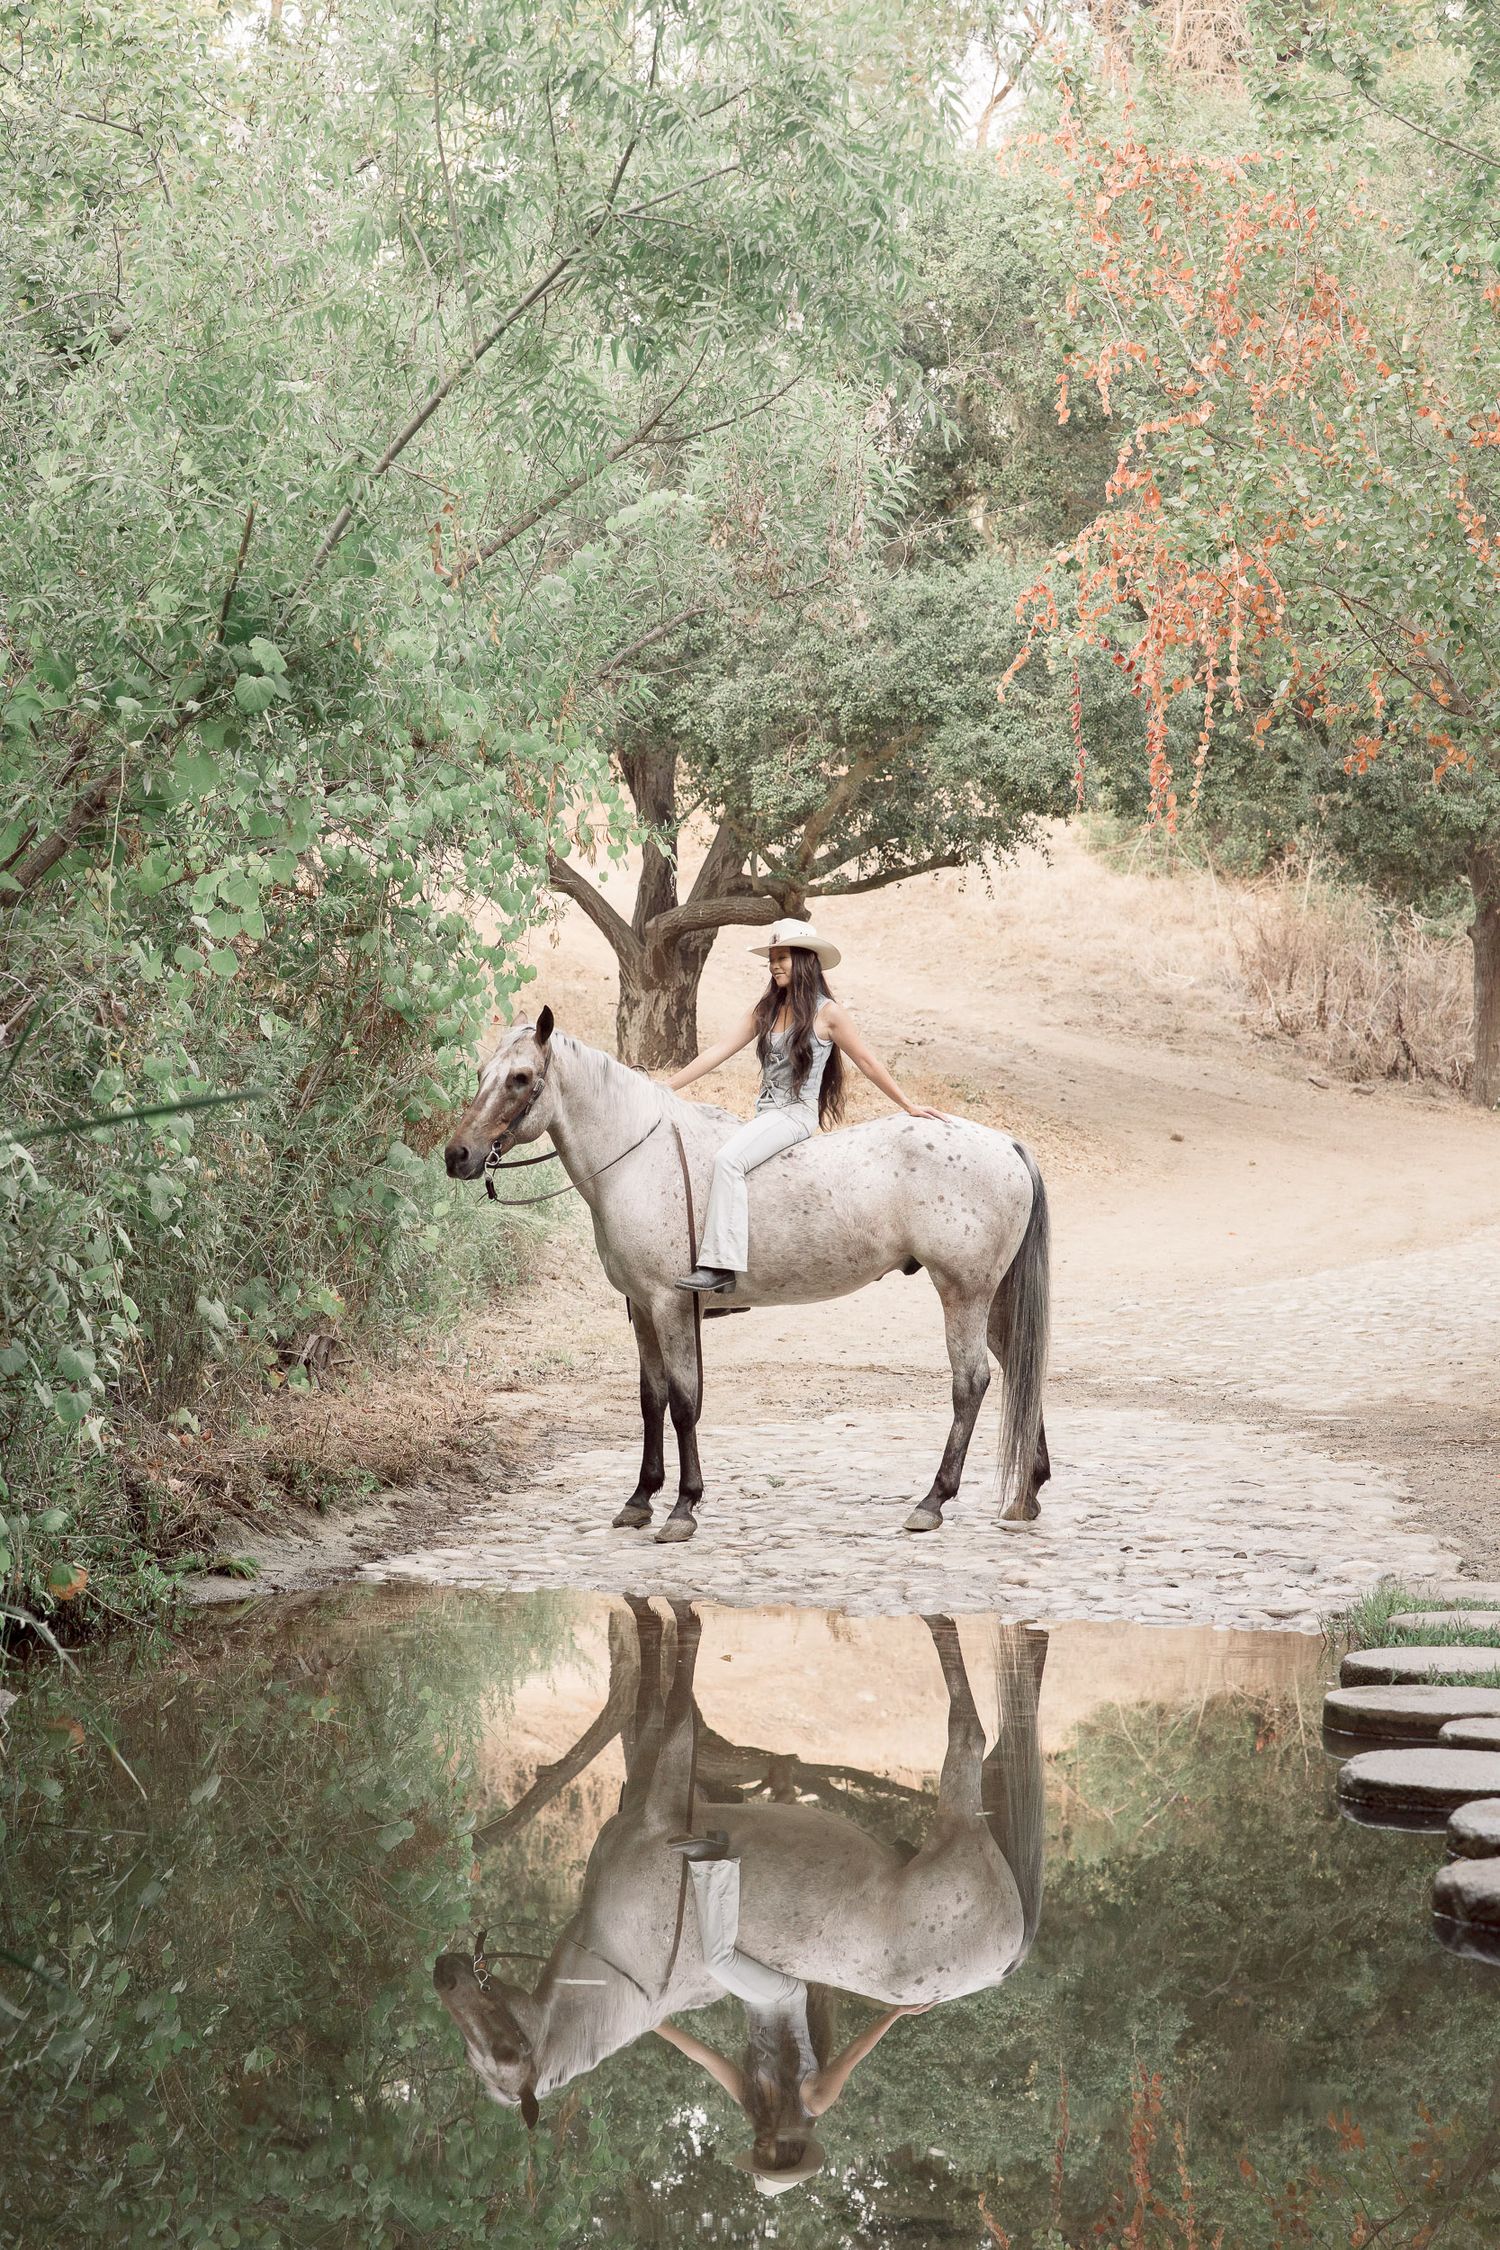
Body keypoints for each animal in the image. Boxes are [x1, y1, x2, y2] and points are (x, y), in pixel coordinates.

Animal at [432, 1598, 1048, 2122]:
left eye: (507, 2050)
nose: (445, 1975)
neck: (629, 1969)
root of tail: (1002, 1964)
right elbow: (658, 1686)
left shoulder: (661, 1792)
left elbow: (667, 1685)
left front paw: (662, 1608)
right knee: (977, 1735)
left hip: (958, 1818)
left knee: (969, 1727)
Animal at [444, 1008, 1051, 1541]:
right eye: (481, 1074)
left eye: (521, 1078)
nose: (458, 1155)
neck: (638, 1160)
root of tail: (1005, 1144)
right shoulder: (642, 1309)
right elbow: (650, 1399)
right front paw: (640, 1499)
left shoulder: (670, 1306)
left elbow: (684, 1401)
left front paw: (683, 1507)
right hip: (991, 1300)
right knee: (1021, 1365)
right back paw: (1027, 1493)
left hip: (963, 1295)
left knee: (971, 1383)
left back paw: (934, 1501)